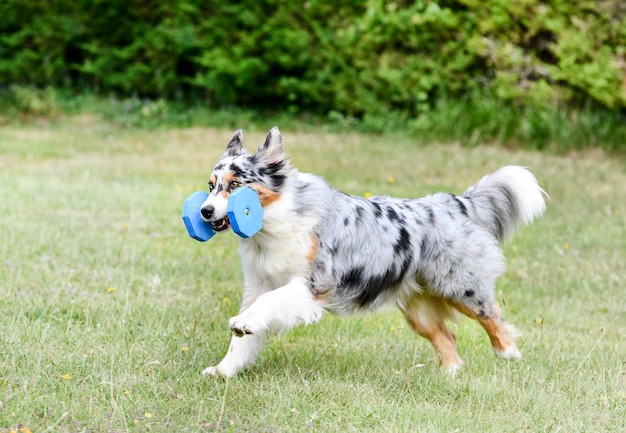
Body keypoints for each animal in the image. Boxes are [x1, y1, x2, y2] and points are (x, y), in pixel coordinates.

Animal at [197, 126, 544, 376]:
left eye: (234, 185)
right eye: (212, 185)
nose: (204, 211)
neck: (273, 223)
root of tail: (451, 202)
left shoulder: (314, 283)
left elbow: (267, 306)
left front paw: (241, 327)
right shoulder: (258, 284)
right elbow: (244, 337)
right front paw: (223, 370)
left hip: (459, 286)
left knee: (492, 314)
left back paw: (508, 352)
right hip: (418, 310)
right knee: (447, 337)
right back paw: (450, 375)